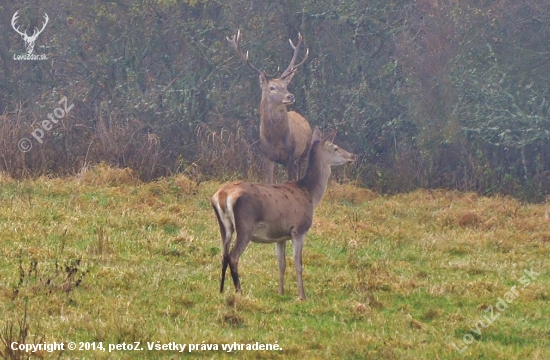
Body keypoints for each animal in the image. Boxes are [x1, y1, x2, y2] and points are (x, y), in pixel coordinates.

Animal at [211, 126, 358, 298]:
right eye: (335, 147)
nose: (352, 156)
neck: (310, 194)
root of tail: (221, 195)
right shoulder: (299, 230)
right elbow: (298, 263)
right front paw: (302, 295)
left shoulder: (280, 236)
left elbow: (281, 264)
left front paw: (280, 292)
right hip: (245, 224)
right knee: (233, 257)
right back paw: (239, 291)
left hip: (224, 225)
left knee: (223, 255)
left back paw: (221, 290)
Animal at [227, 29, 312, 183]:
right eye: (272, 87)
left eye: (286, 86)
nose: (290, 96)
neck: (275, 139)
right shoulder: (267, 156)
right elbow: (269, 182)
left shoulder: (291, 156)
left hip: (304, 151)